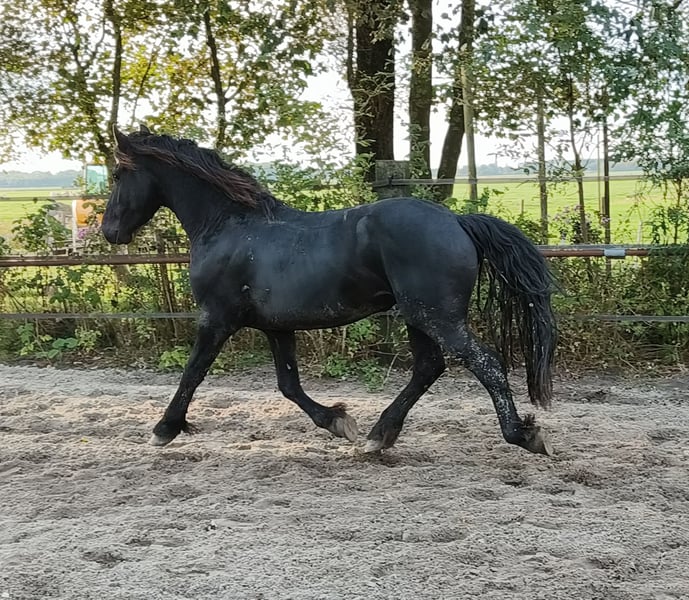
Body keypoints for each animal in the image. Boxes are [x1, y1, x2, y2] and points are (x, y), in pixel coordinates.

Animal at [101, 125, 557, 456]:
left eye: (119, 174)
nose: (109, 231)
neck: (228, 226)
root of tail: (457, 222)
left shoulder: (217, 319)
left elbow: (193, 372)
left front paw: (164, 429)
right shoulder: (276, 327)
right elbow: (288, 385)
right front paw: (338, 421)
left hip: (437, 316)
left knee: (485, 363)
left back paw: (523, 435)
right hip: (419, 317)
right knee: (429, 368)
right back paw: (379, 435)